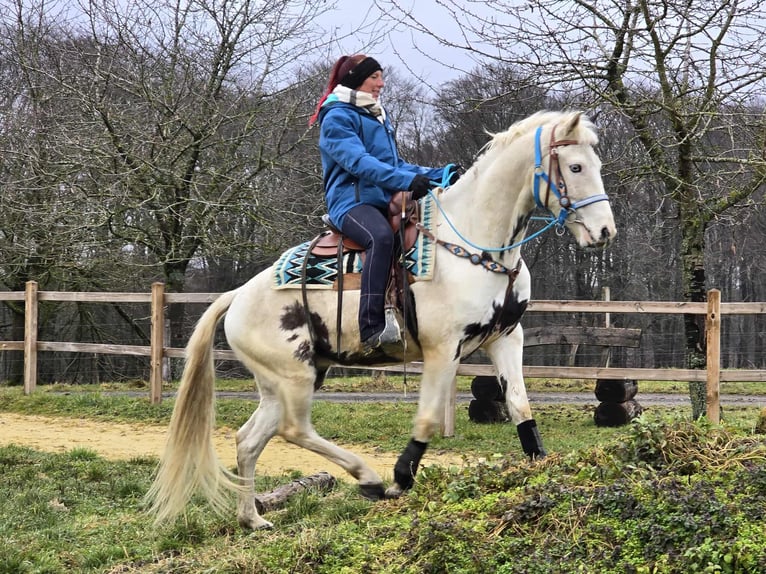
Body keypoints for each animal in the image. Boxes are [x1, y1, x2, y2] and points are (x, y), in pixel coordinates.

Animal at [145, 110, 617, 530]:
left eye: (595, 165)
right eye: (575, 166)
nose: (605, 232)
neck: (473, 243)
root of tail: (238, 296)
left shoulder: (505, 338)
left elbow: (520, 404)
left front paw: (540, 469)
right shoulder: (443, 350)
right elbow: (427, 418)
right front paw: (400, 477)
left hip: (281, 381)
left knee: (249, 439)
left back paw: (252, 518)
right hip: (294, 376)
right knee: (294, 430)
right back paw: (367, 478)